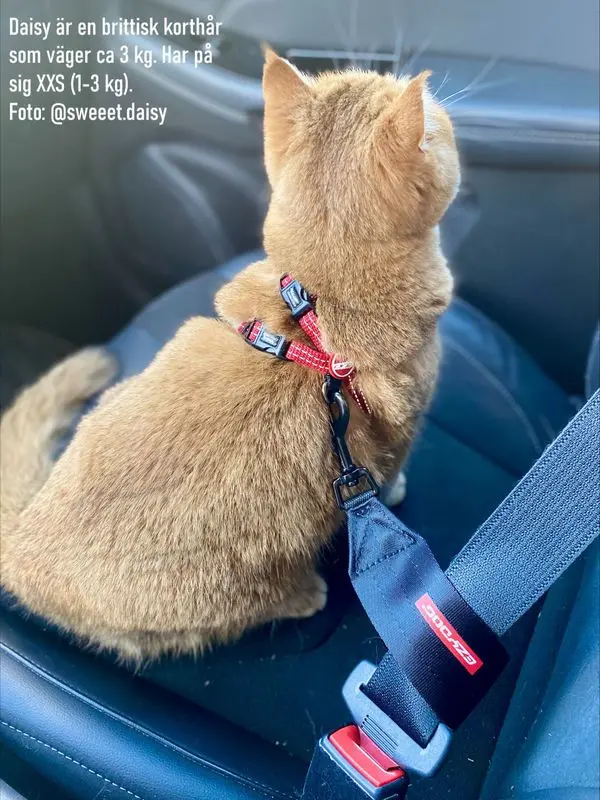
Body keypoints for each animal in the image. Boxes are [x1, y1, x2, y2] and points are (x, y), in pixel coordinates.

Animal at [0, 49, 459, 661]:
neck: (315, 308)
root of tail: (21, 543)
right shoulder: (399, 434)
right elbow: (390, 474)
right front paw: (399, 490)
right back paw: (306, 593)